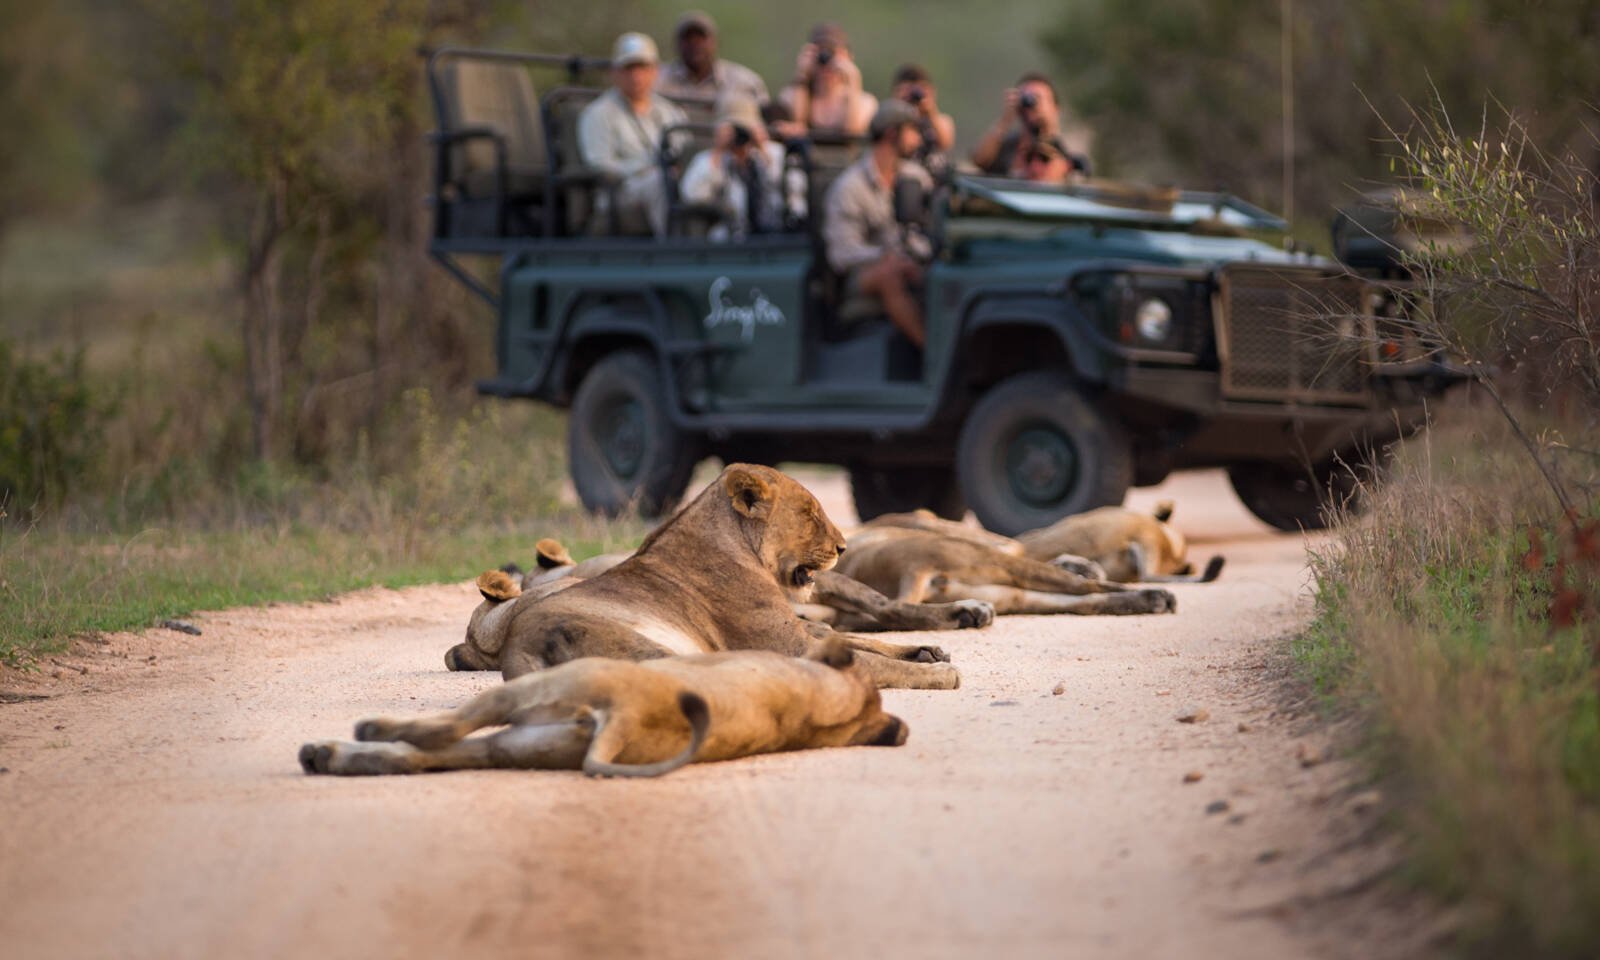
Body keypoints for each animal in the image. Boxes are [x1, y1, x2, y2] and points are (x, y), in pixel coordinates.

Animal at [444, 464, 953, 691]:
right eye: (810, 514)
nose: (844, 547)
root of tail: (517, 650)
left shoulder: (803, 630)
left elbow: (858, 640)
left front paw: (928, 650)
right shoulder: (793, 645)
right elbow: (872, 661)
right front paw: (940, 673)